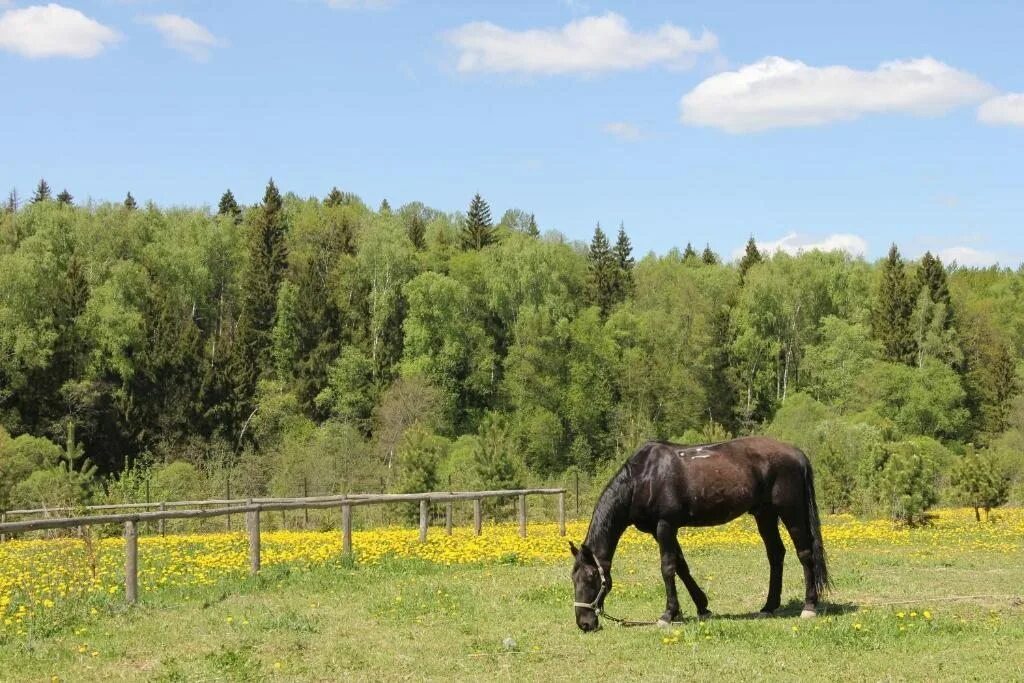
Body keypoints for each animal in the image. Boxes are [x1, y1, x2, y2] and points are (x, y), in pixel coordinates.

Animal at [573, 436, 827, 634]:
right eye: (573, 579)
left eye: (591, 577)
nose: (584, 623)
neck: (643, 478)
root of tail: (797, 454)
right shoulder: (660, 531)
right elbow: (681, 566)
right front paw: (701, 607)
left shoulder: (665, 525)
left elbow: (668, 568)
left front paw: (667, 615)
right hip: (765, 514)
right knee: (775, 554)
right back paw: (768, 606)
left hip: (791, 511)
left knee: (804, 553)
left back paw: (809, 606)